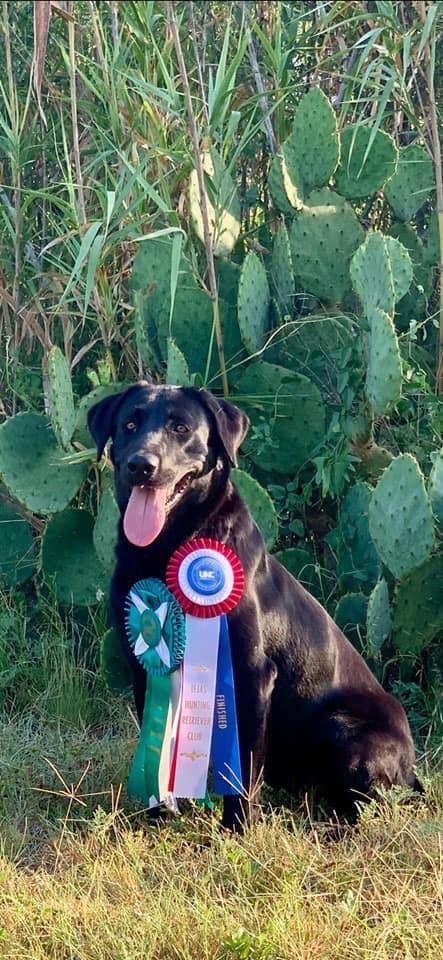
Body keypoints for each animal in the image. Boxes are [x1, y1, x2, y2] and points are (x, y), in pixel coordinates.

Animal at [87, 386, 424, 828]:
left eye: (181, 428)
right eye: (129, 424)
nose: (141, 465)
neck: (169, 547)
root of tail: (412, 767)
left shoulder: (249, 673)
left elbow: (241, 766)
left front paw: (237, 828)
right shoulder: (146, 666)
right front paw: (158, 817)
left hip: (343, 728)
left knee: (365, 808)